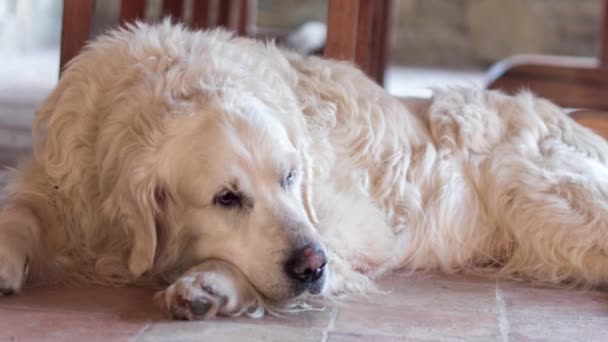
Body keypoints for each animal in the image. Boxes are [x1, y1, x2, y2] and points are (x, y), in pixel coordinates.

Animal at [1, 21, 608, 320]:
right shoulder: (63, 184)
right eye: (227, 198)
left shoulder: (333, 237)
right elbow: (21, 208)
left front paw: (210, 284)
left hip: (549, 198)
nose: (311, 267)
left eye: (291, 177)